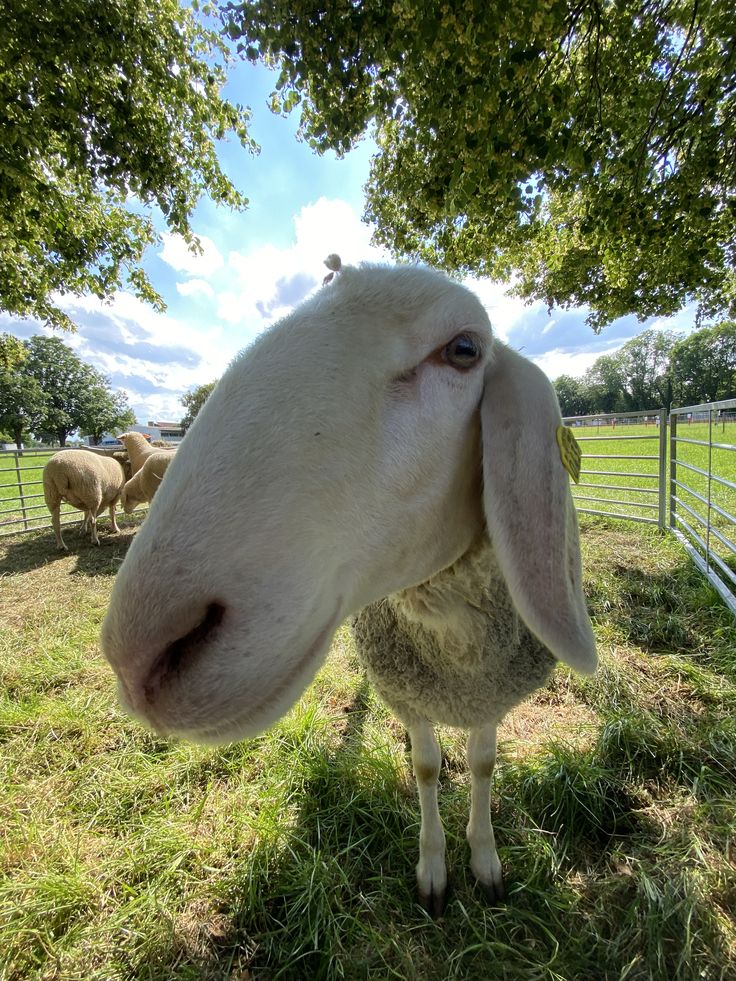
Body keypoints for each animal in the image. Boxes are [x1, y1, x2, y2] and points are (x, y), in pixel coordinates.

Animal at [102, 259, 596, 915]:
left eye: (465, 351)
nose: (141, 656)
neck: (457, 651)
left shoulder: (489, 692)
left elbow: (484, 763)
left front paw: (485, 859)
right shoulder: (409, 691)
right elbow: (427, 768)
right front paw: (433, 867)